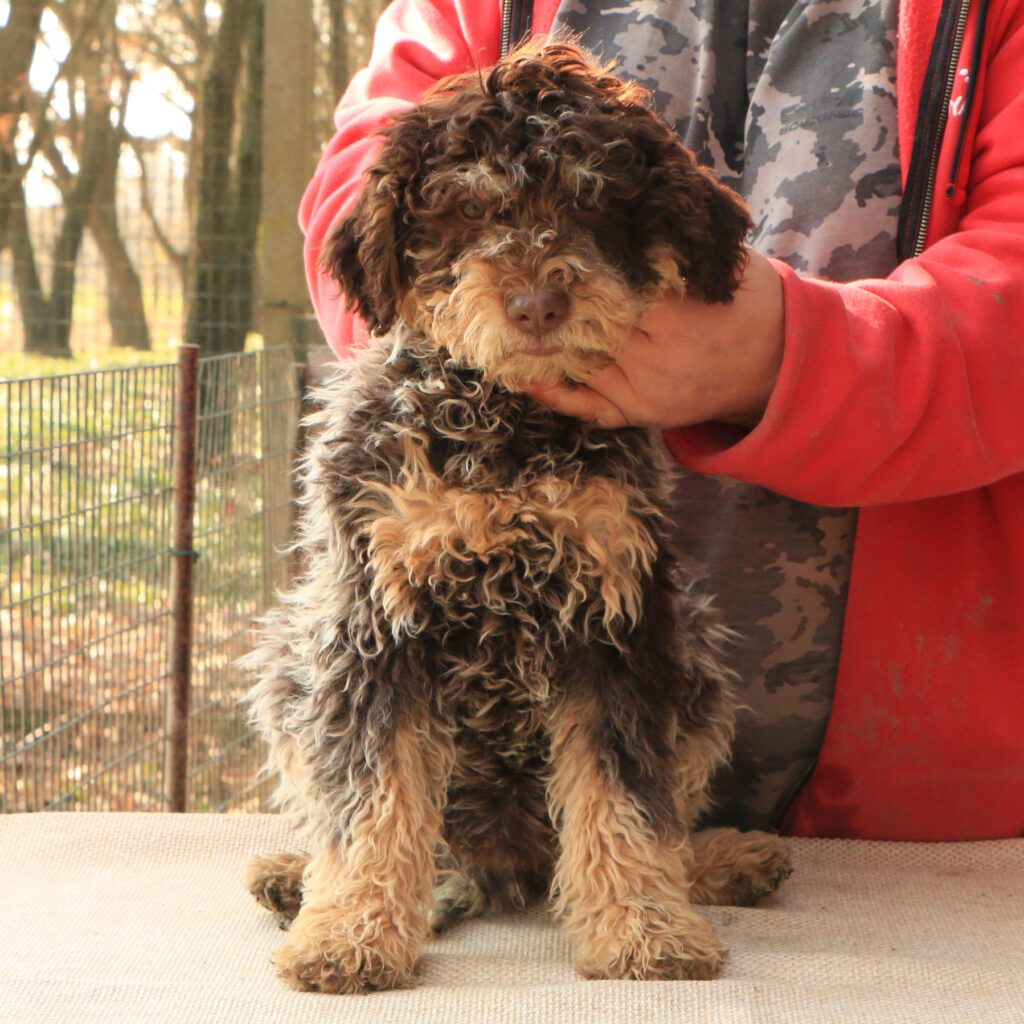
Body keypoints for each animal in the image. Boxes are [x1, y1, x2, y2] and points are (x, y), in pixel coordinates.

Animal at [245, 41, 790, 991]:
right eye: (466, 209)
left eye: (595, 202)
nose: (538, 304)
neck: (501, 429)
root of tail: (502, 865)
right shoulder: (374, 627)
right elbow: (372, 796)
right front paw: (350, 932)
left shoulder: (617, 622)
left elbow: (623, 796)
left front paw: (642, 927)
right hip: (290, 655)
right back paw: (299, 877)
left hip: (694, 657)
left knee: (662, 818)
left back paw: (718, 864)